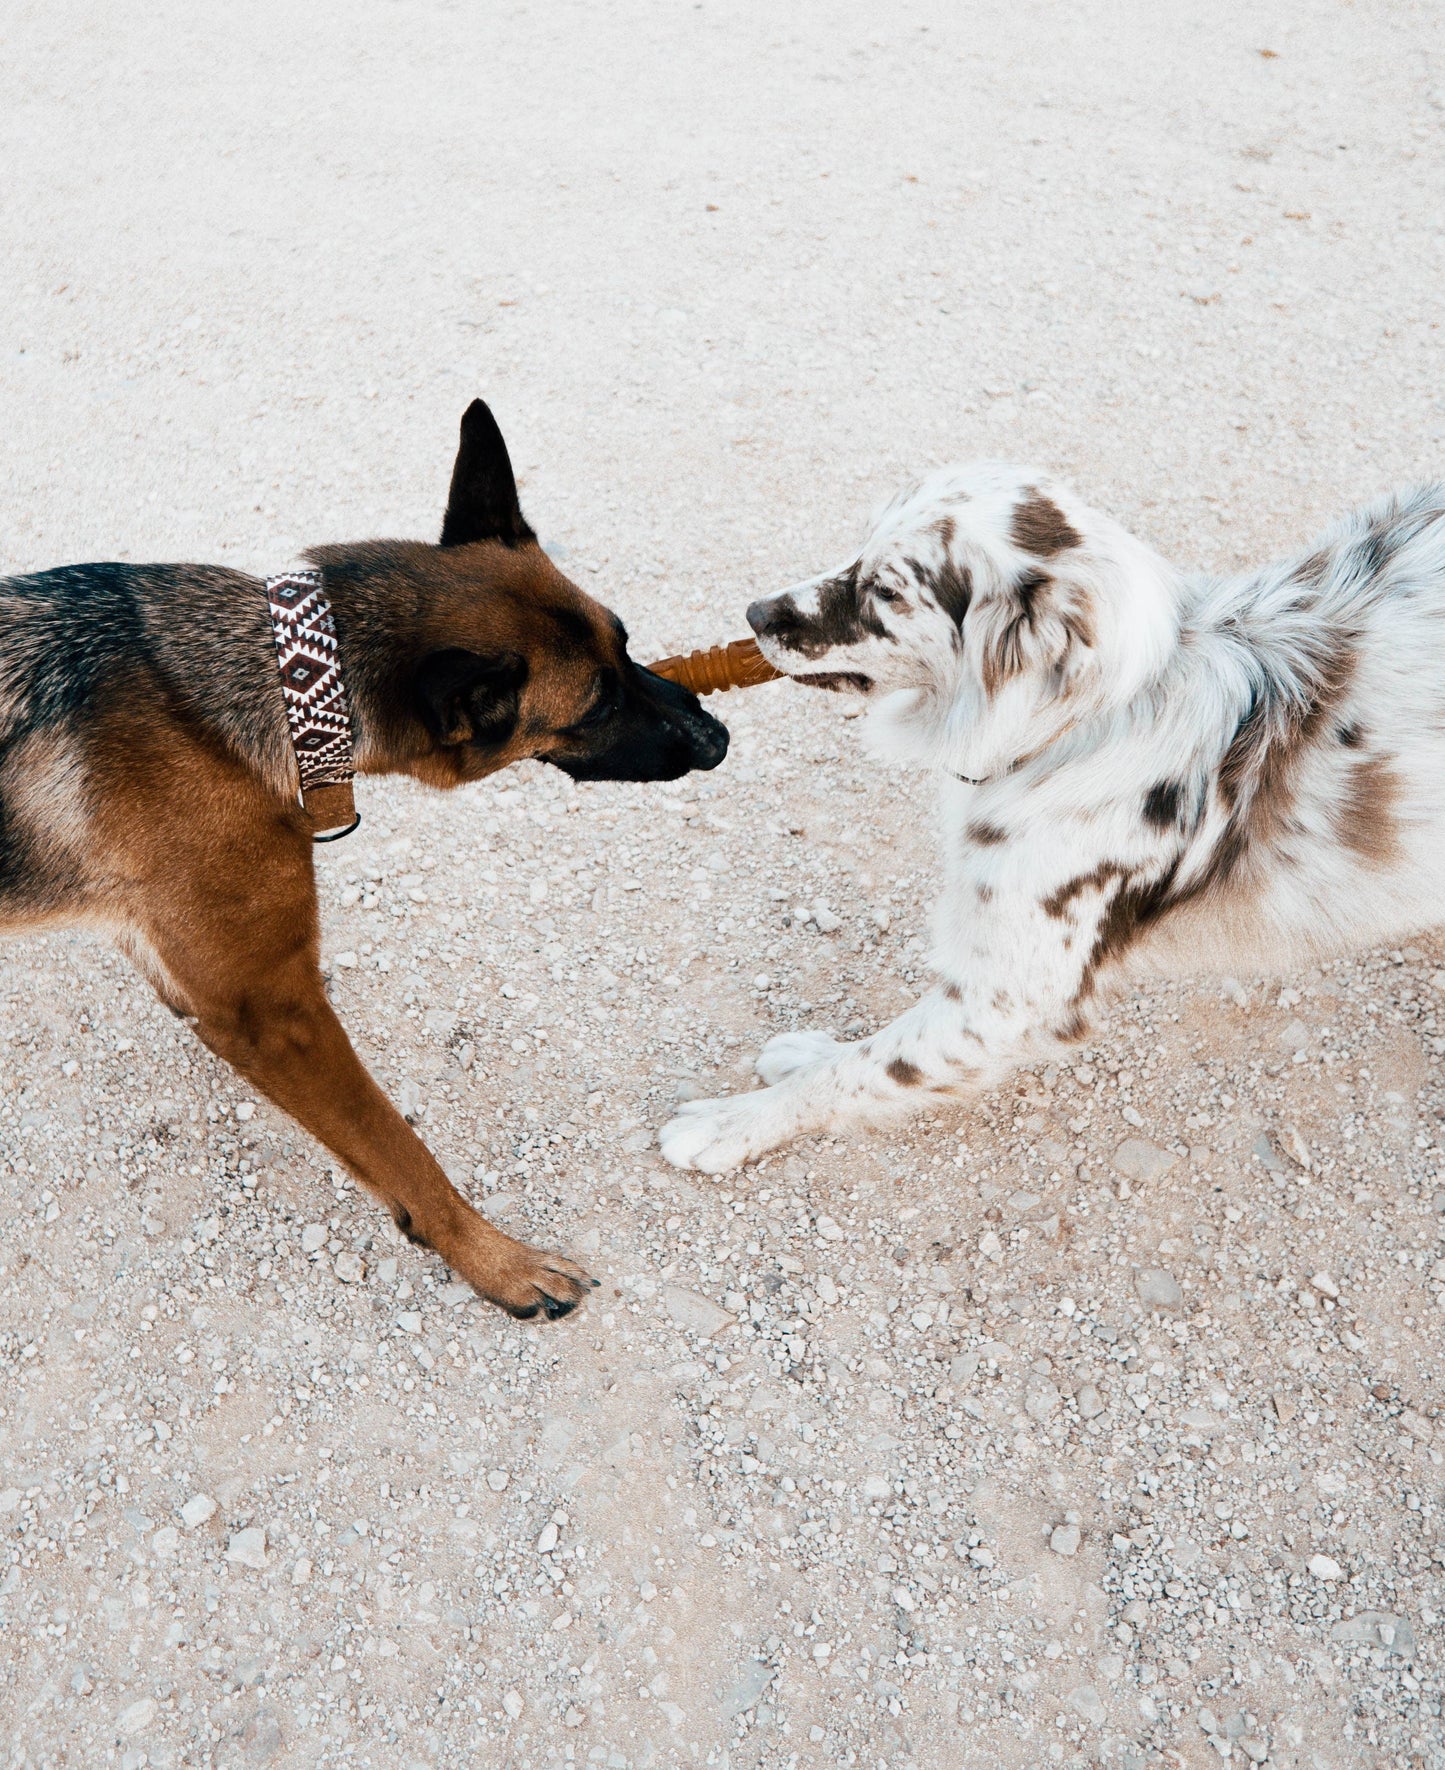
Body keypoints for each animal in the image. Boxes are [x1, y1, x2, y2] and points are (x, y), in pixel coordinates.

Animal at [0, 401, 722, 1316]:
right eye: (595, 707)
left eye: (625, 644)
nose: (717, 737)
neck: (288, 681)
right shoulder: (274, 1013)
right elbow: (399, 1147)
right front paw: (498, 1261)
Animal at [658, 463, 1445, 1168]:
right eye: (860, 547)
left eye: (886, 589)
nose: (756, 614)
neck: (1084, 723)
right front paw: (803, 1052)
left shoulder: (1006, 1001)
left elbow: (864, 1067)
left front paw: (732, 1123)